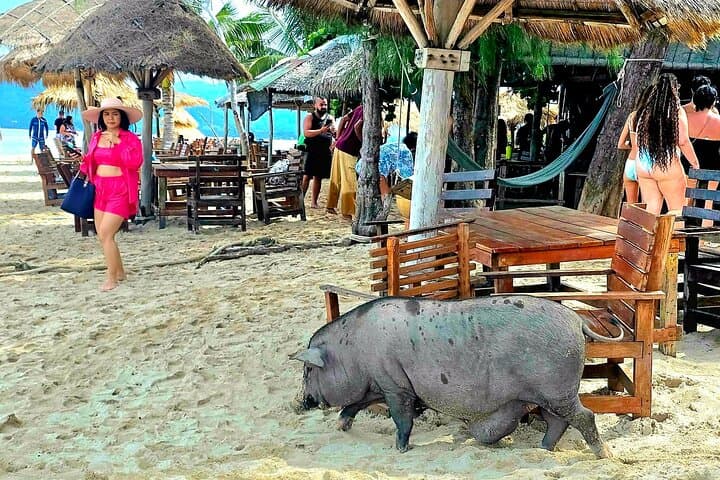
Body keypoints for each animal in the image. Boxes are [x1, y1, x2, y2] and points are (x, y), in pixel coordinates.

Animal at [292, 296, 611, 458]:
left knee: (584, 416)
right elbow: (354, 405)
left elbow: (401, 418)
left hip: (557, 389)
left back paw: (602, 455)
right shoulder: (377, 384)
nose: (298, 403)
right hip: (548, 394)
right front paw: (341, 426)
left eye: (308, 370)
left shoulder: (395, 386)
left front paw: (400, 449)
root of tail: (576, 320)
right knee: (558, 421)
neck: (354, 351)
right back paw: (542, 450)